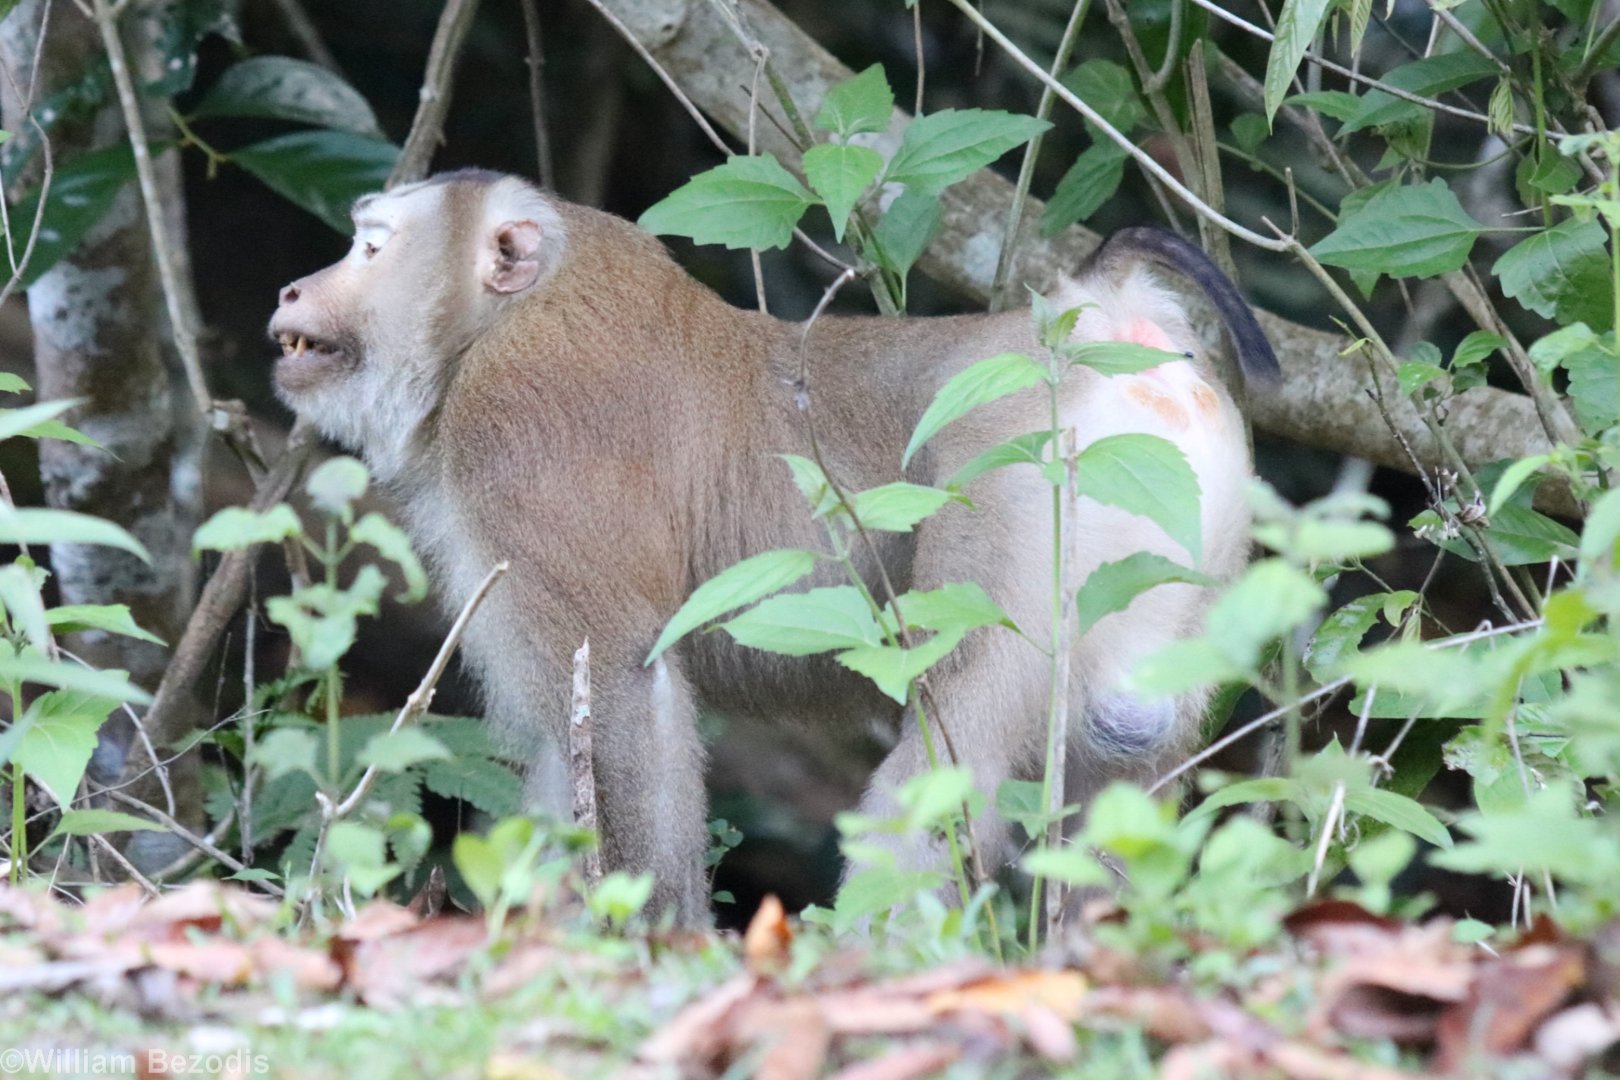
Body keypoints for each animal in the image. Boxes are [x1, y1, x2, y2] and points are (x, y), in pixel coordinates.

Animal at [267, 168, 1279, 924]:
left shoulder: (522, 433)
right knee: (1126, 745)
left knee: (955, 740)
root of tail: (1103, 316)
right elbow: (572, 740)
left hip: (1025, 484)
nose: (290, 287)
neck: (497, 325)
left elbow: (625, 690)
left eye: (370, 248)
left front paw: (650, 948)